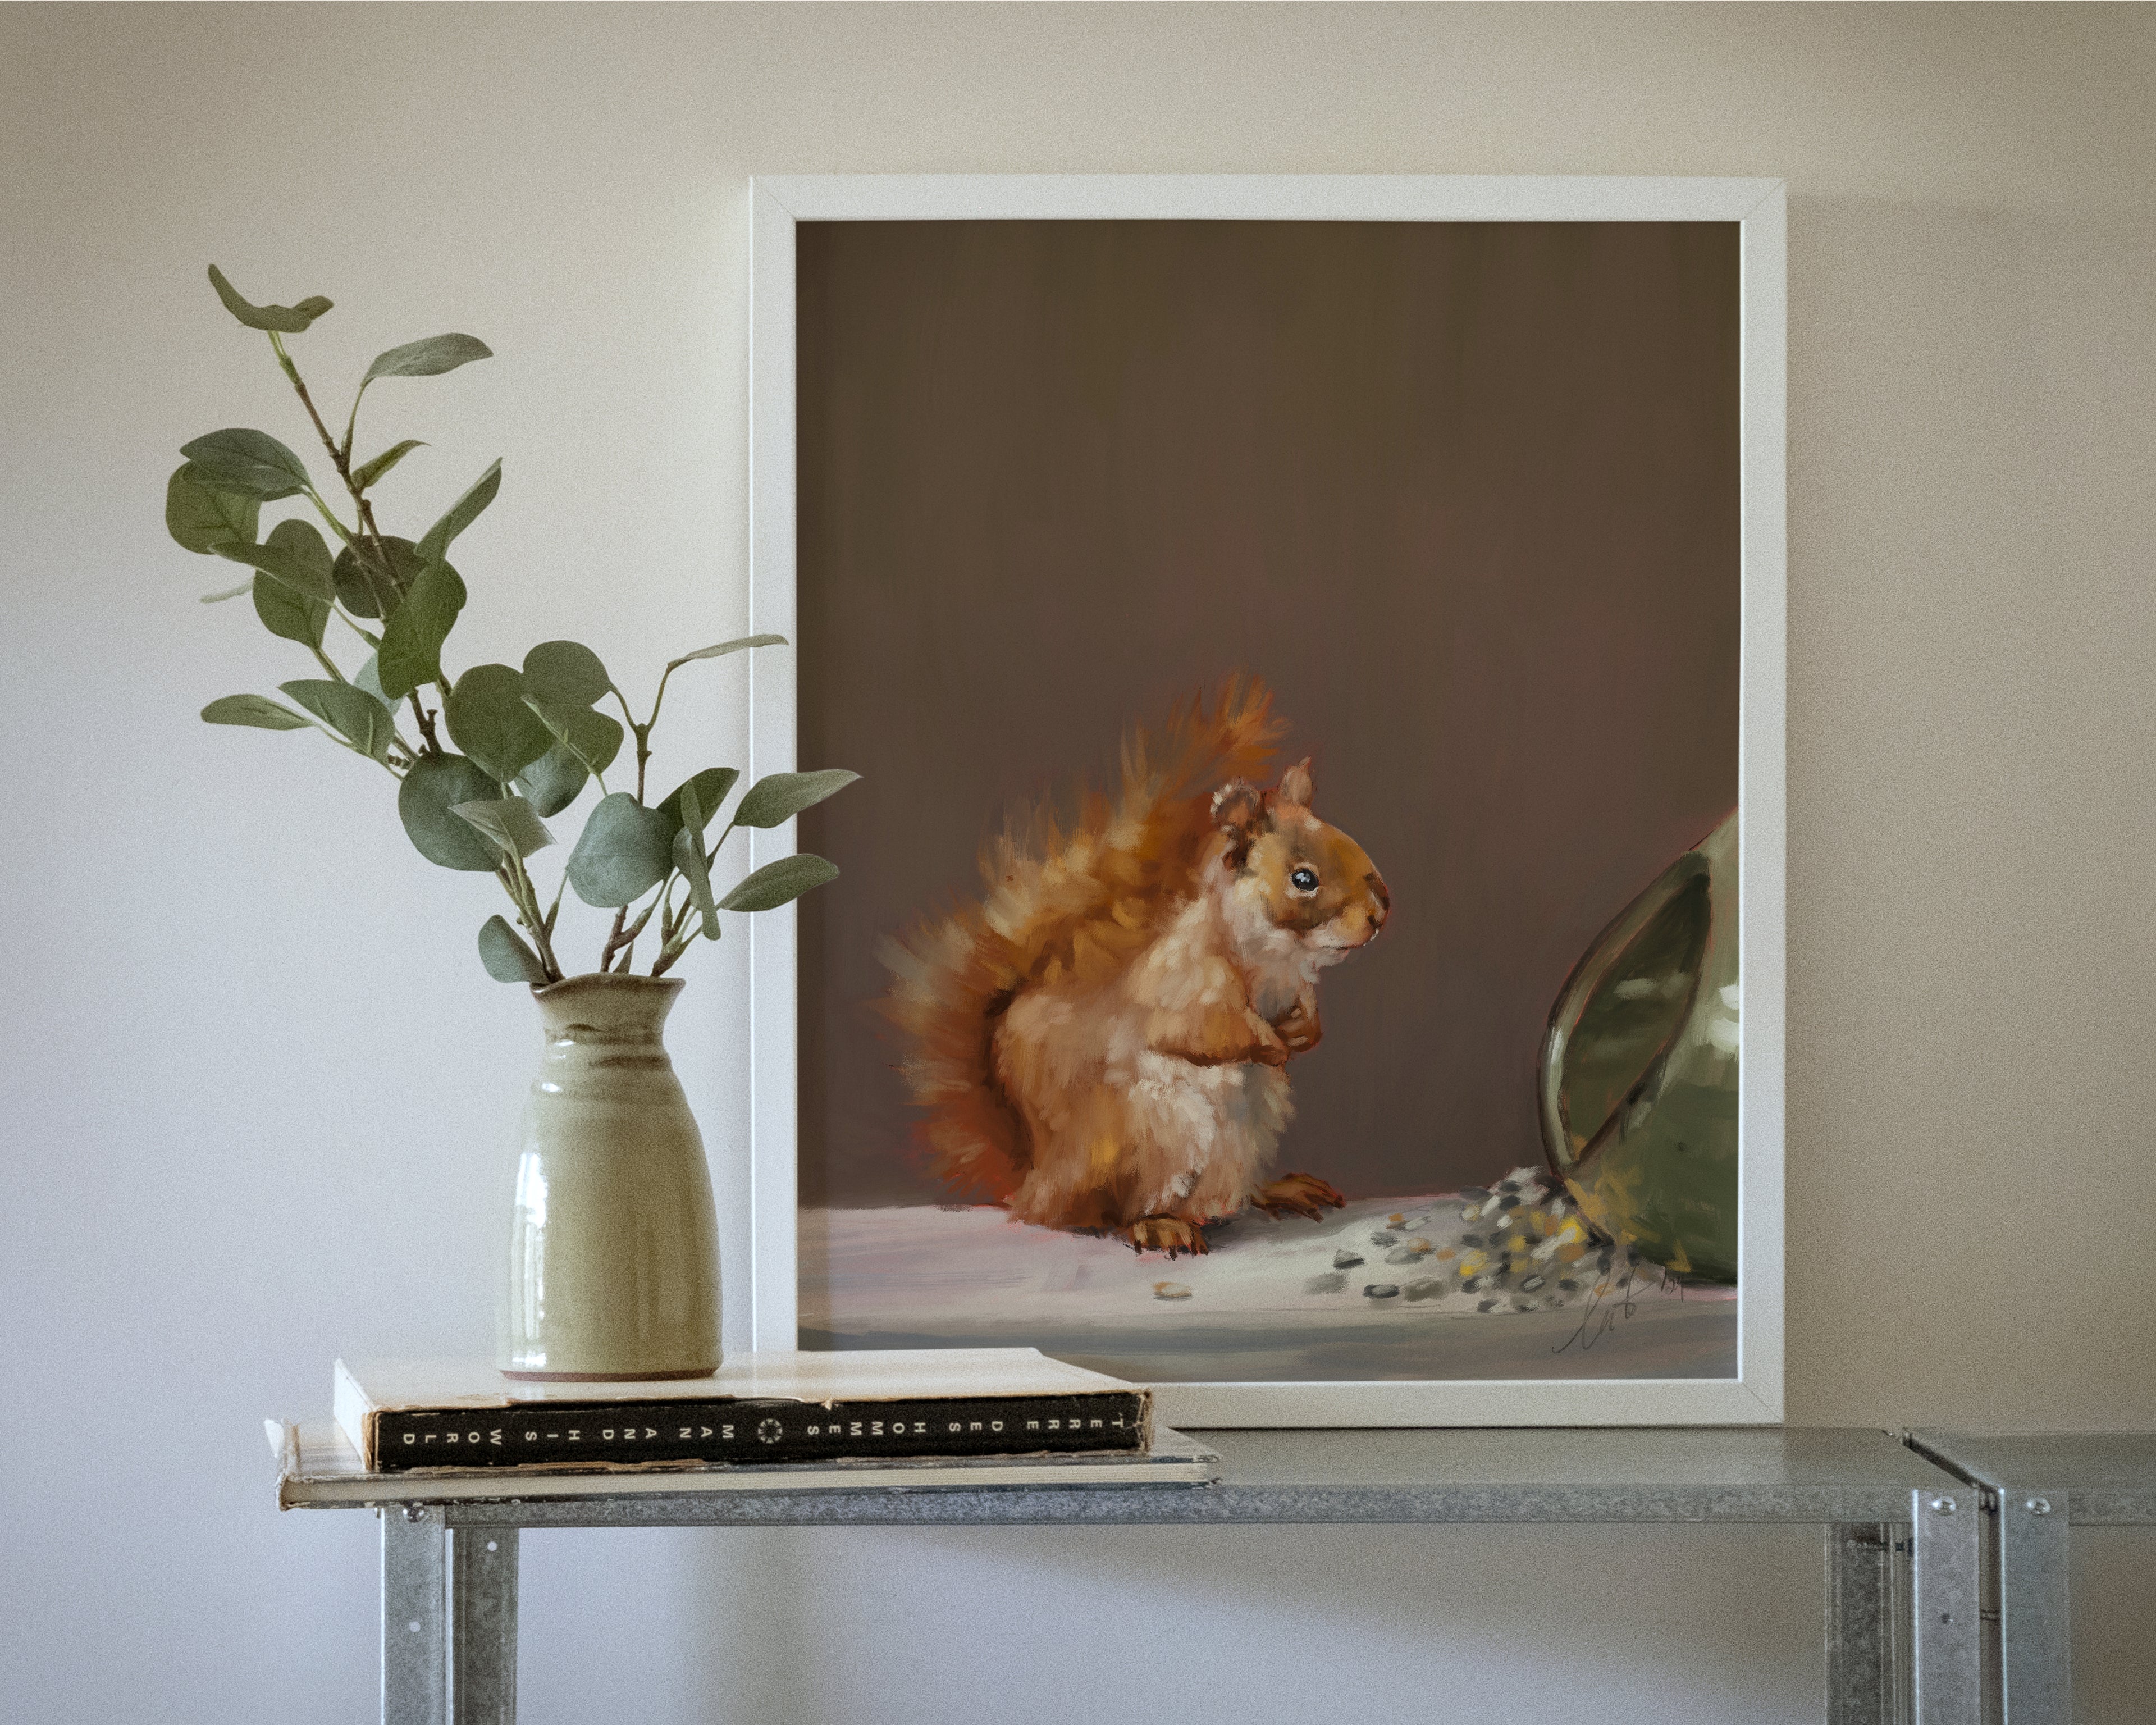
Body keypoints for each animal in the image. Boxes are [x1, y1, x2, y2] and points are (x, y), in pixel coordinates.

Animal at [881, 678, 1390, 1259]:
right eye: (1303, 879)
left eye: (1350, 843)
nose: (1381, 912)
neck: (1275, 958)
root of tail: (1036, 1184)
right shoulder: (1181, 985)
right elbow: (1208, 1031)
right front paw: (1271, 1045)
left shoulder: (1295, 985)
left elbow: (1304, 1011)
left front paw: (1305, 1032)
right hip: (1148, 1138)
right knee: (1108, 1213)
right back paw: (1159, 1224)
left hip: (1252, 1128)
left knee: (1231, 1197)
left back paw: (1278, 1189)